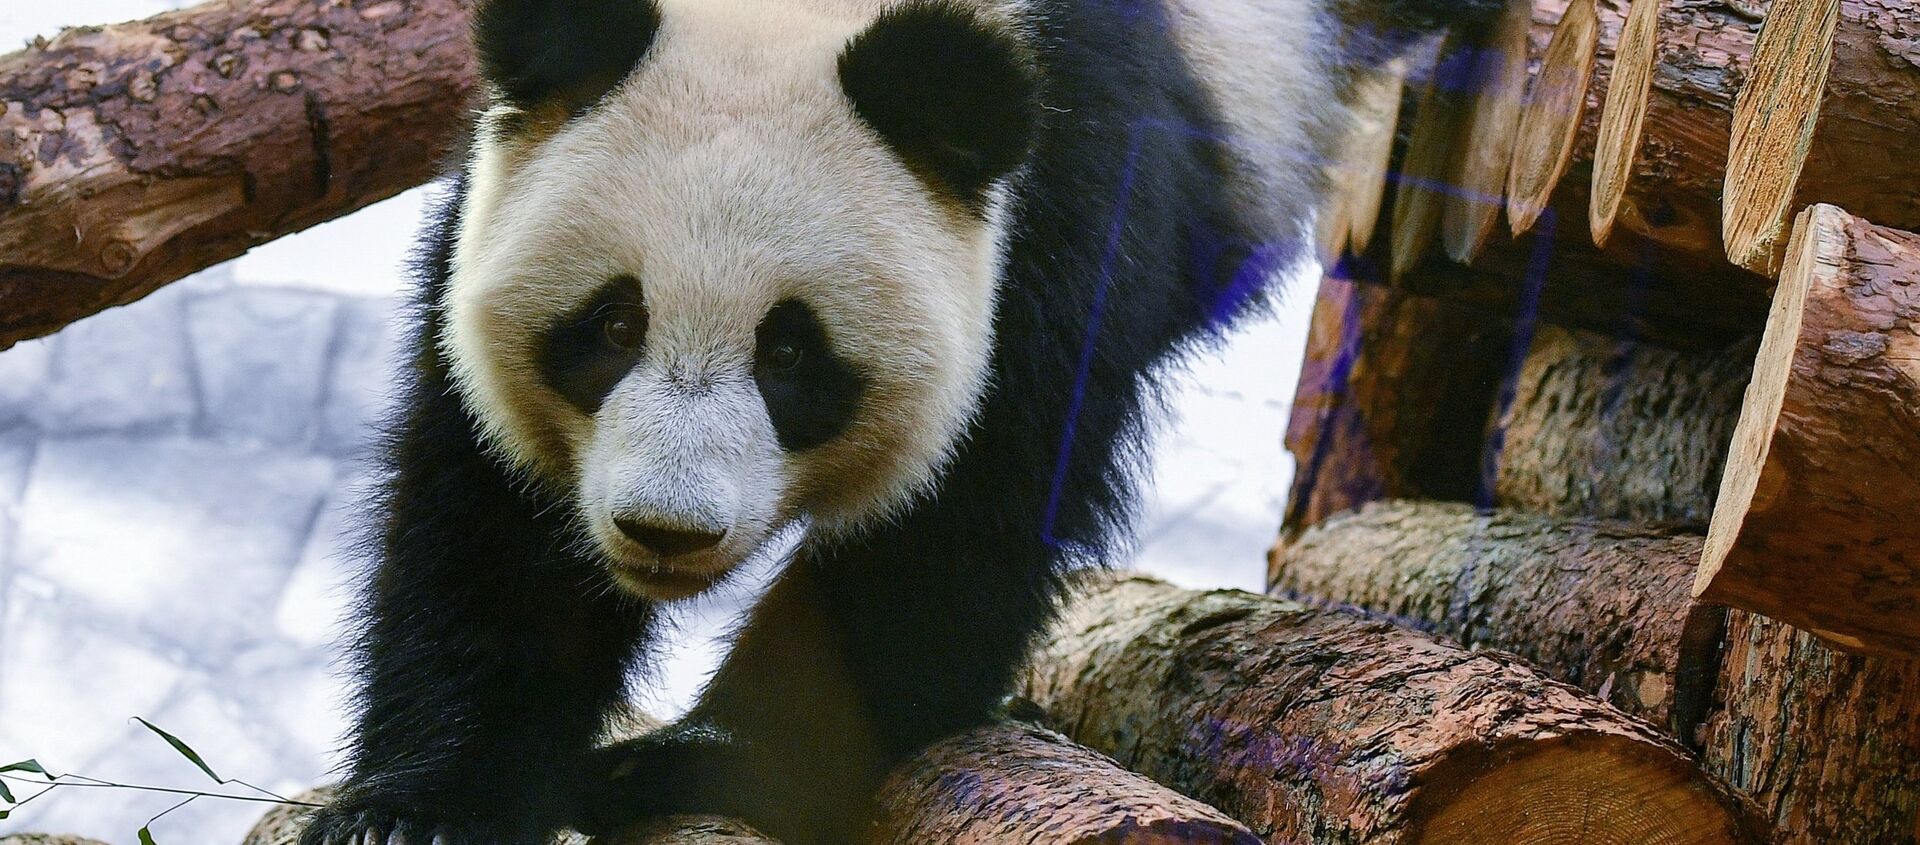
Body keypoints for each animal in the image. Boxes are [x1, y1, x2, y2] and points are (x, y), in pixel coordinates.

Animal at [302, 0, 1493, 843]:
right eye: (612, 322)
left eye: (791, 351)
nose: (665, 530)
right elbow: (494, 531)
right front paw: (419, 810)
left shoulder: (1065, 190)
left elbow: (964, 508)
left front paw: (694, 758)